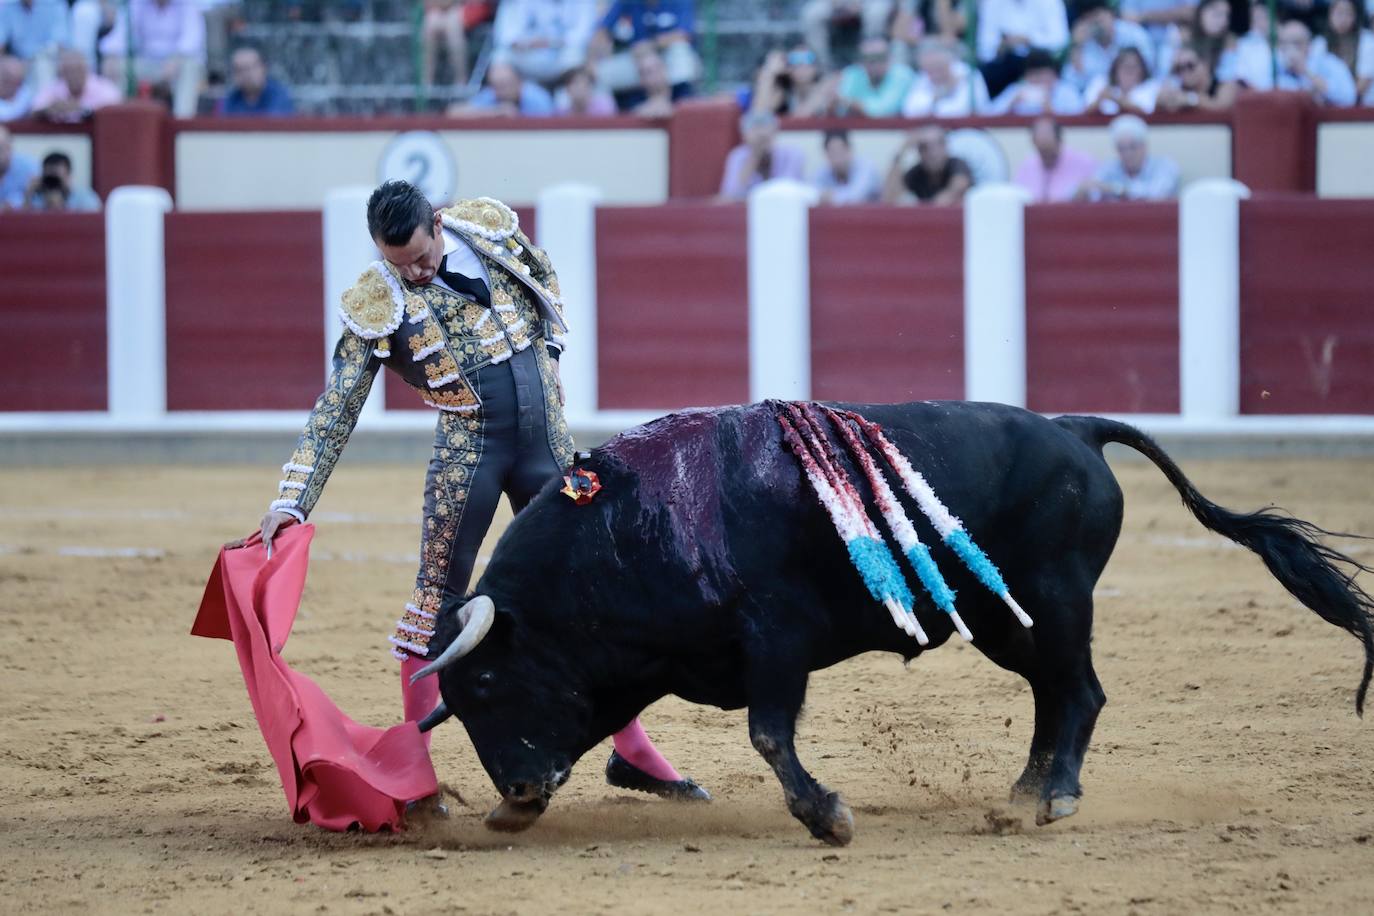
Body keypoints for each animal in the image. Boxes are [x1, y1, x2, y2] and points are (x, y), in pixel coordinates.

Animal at [414, 401, 1374, 845]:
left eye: (489, 680)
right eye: (458, 704)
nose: (518, 790)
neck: (633, 527)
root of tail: (1074, 428)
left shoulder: (777, 642)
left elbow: (769, 734)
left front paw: (827, 817)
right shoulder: (650, 664)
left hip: (1056, 603)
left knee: (1082, 692)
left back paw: (1056, 796)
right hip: (1007, 621)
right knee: (1055, 695)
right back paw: (1025, 790)